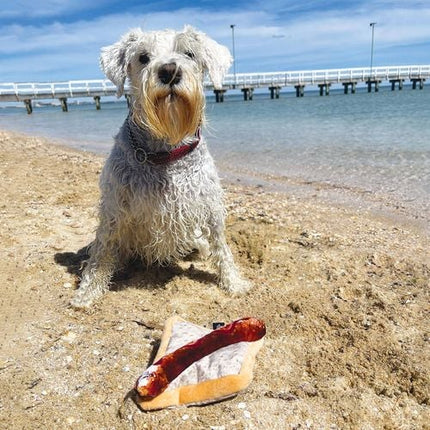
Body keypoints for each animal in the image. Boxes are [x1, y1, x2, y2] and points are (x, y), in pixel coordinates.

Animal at [71, 25, 252, 308]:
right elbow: (102, 251)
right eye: (143, 57)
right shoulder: (114, 208)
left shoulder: (210, 206)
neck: (165, 152)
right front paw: (87, 292)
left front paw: (233, 283)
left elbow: (221, 246)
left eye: (189, 53)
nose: (169, 71)